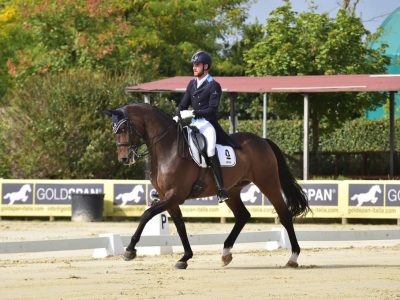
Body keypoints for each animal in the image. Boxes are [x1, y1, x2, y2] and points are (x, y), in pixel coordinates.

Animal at [103, 103, 310, 270]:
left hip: (268, 182)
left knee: (284, 215)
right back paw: (225, 254)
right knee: (243, 216)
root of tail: (262, 140)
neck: (167, 148)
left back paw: (293, 258)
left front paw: (130, 251)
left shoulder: (174, 195)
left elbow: (146, 215)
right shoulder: (168, 197)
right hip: (232, 190)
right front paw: (185, 258)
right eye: (115, 131)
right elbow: (180, 226)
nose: (124, 158)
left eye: (124, 128)